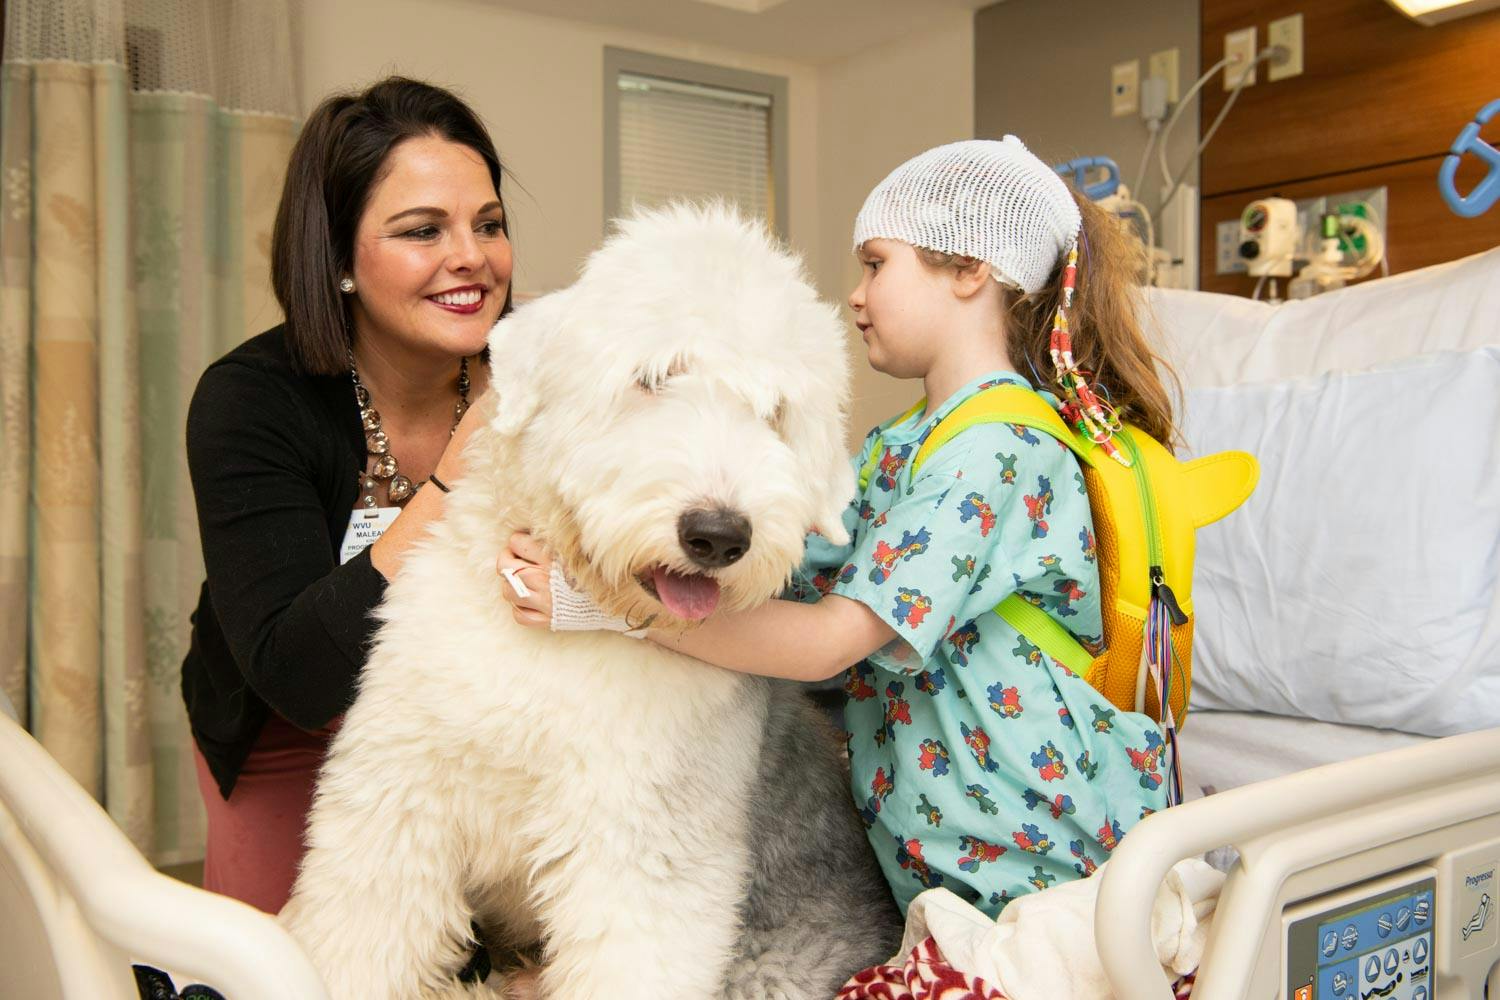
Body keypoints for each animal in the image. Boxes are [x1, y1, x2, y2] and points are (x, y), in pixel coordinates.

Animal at [286, 205, 906, 1000]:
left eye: (774, 412)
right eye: (653, 377)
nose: (718, 534)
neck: (557, 649)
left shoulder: (642, 848)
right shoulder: (397, 794)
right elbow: (361, 935)